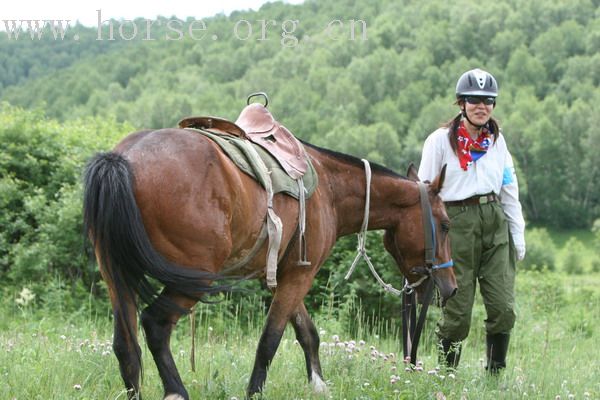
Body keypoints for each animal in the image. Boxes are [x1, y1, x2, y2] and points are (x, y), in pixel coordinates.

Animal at [83, 129, 454, 400]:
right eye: (446, 224)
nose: (450, 287)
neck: (330, 187)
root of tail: (123, 159)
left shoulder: (282, 275)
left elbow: (307, 333)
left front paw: (318, 384)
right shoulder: (300, 276)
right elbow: (270, 341)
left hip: (117, 276)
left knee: (125, 344)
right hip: (194, 279)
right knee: (155, 325)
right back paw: (176, 391)